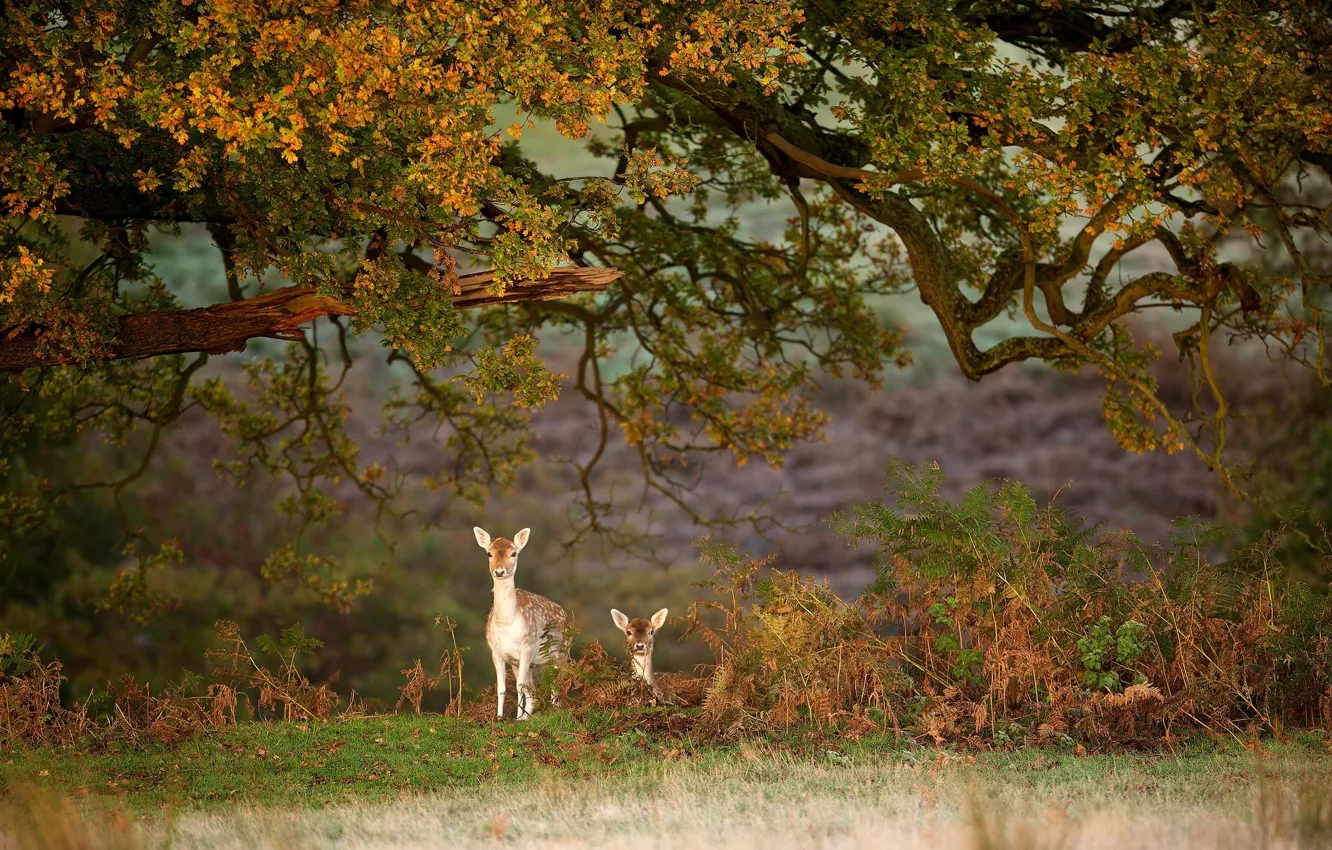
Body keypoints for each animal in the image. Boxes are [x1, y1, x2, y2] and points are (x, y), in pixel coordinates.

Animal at [474, 527, 567, 719]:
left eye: (514, 553)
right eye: (489, 553)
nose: (499, 572)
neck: (508, 623)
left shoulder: (527, 648)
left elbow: (519, 687)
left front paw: (516, 718)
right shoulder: (497, 652)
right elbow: (502, 687)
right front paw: (500, 717)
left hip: (562, 651)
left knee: (556, 682)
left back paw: (554, 710)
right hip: (526, 664)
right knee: (533, 693)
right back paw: (527, 716)